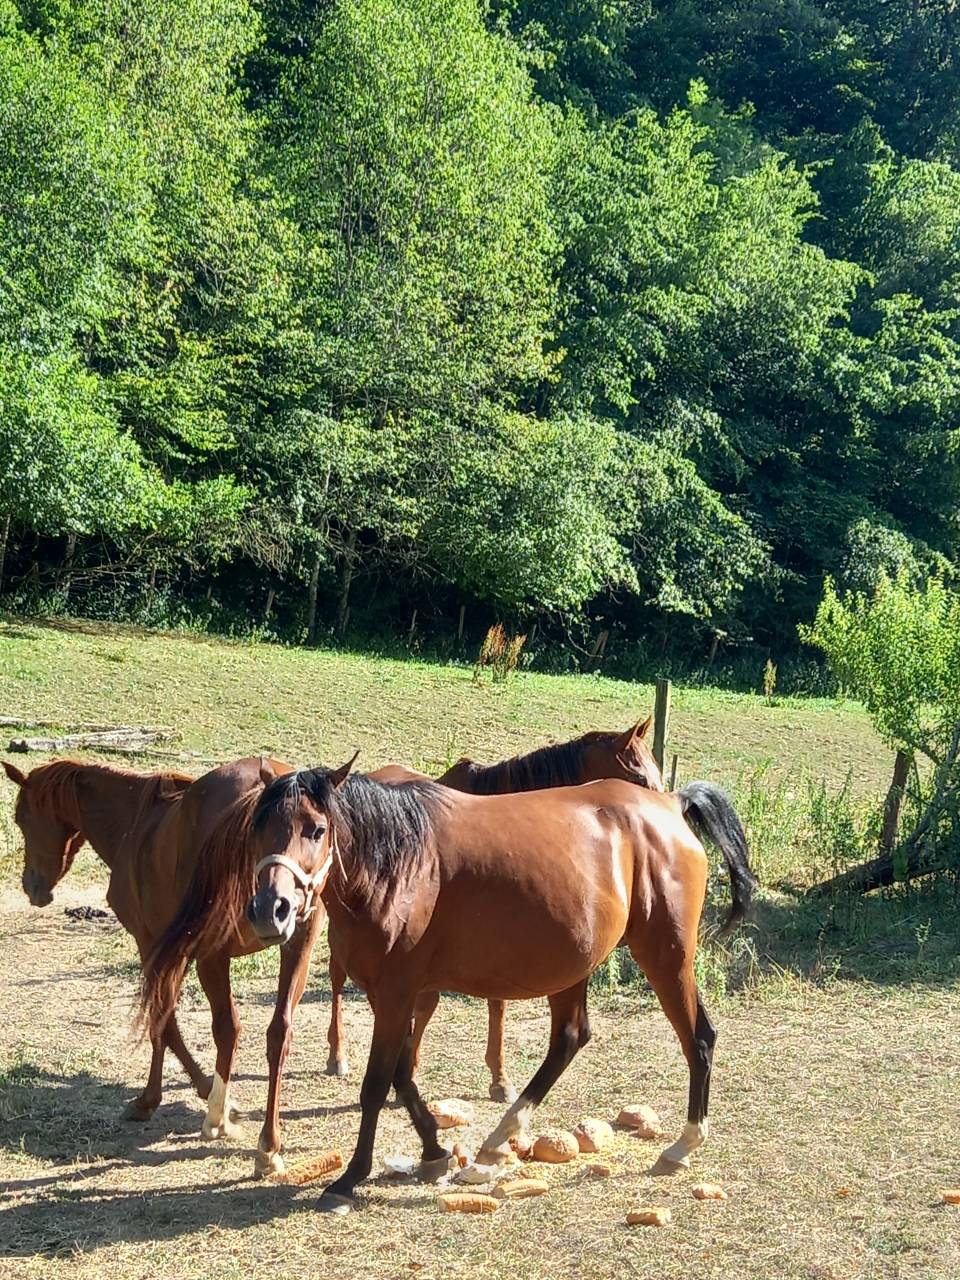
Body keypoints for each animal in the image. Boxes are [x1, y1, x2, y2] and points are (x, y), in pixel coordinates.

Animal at [1, 754, 321, 1174]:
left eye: (21, 817)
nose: (32, 886)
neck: (136, 821)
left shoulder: (151, 945)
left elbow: (161, 1023)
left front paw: (156, 1099)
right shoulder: (178, 952)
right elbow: (167, 1022)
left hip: (215, 955)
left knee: (228, 1029)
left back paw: (220, 1121)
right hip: (296, 945)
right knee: (279, 1033)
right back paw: (268, 1146)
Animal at [140, 758, 756, 1213]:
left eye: (316, 829)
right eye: (258, 829)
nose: (271, 910)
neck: (397, 865)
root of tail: (670, 805)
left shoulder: (396, 992)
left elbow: (376, 1084)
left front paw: (349, 1178)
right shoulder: (395, 991)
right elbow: (402, 1075)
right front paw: (435, 1150)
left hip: (666, 954)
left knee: (698, 1037)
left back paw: (682, 1145)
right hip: (573, 968)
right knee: (570, 1039)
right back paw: (497, 1140)